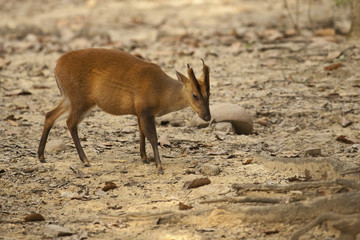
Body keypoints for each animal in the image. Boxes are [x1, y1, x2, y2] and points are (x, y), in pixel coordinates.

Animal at [36, 48, 211, 172]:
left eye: (209, 93)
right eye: (195, 95)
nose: (207, 117)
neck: (162, 91)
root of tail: (56, 65)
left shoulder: (141, 113)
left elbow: (142, 133)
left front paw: (145, 158)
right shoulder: (146, 111)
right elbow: (152, 137)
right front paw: (159, 166)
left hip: (69, 98)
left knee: (49, 115)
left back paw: (41, 156)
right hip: (81, 100)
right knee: (70, 122)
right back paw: (85, 160)